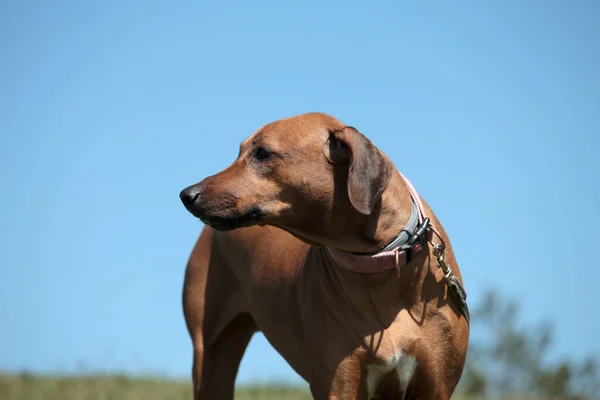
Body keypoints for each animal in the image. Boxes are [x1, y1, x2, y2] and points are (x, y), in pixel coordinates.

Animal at [178, 112, 468, 400]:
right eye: (240, 152)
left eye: (262, 153)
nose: (186, 194)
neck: (383, 263)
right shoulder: (337, 385)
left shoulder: (436, 387)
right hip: (211, 359)